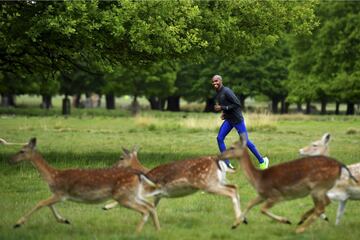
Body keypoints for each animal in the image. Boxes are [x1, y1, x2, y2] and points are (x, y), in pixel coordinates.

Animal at [8, 138, 160, 233]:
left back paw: (136, 232)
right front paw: (65, 220)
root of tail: (138, 174)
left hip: (124, 195)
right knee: (149, 206)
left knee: (145, 209)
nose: (10, 160)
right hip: (130, 195)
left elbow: (41, 203)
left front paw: (17, 223)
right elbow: (48, 204)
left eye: (22, 150)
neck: (53, 176)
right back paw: (157, 230)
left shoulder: (61, 193)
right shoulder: (57, 194)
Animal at [103, 146, 245, 229]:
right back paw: (242, 219)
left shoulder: (149, 189)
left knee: (231, 191)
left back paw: (237, 222)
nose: (112, 167)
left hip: (207, 183)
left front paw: (106, 206)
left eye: (121, 158)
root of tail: (217, 160)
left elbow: (122, 199)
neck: (146, 173)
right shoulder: (158, 195)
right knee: (235, 186)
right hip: (217, 181)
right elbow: (153, 207)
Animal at [219, 134, 358, 233]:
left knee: (321, 207)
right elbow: (250, 203)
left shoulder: (275, 195)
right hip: (322, 188)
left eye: (232, 147)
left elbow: (262, 209)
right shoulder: (262, 194)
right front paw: (235, 224)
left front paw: (286, 220)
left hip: (317, 187)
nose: (219, 155)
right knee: (325, 203)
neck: (258, 178)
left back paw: (298, 229)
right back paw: (302, 221)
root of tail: (340, 165)